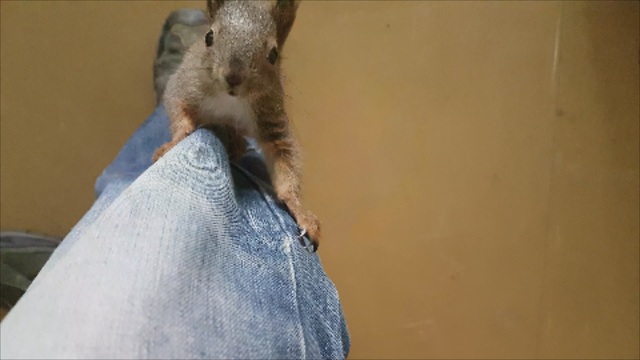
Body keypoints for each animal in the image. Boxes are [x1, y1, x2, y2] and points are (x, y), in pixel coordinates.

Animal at [153, 0, 322, 250]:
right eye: (209, 37)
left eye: (274, 54)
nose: (234, 77)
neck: (229, 101)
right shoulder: (183, 85)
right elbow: (179, 110)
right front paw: (171, 143)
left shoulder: (270, 116)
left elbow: (284, 160)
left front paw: (300, 212)